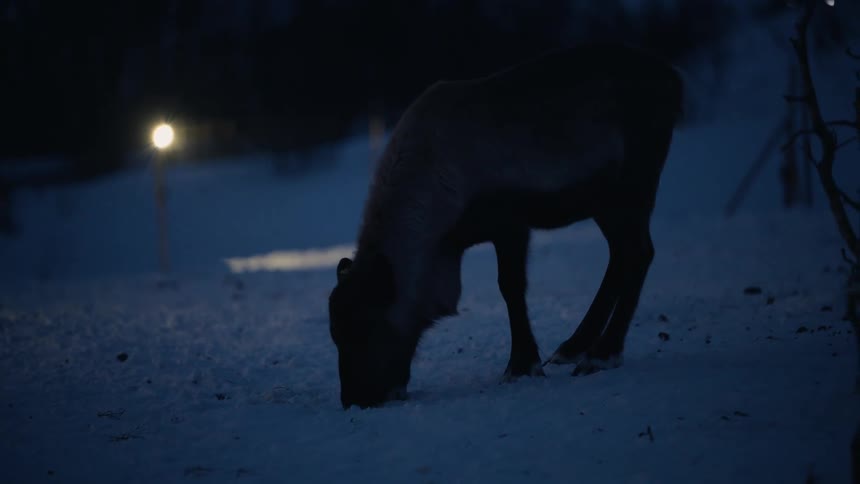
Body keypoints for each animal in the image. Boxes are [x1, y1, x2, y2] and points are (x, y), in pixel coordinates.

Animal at [328, 42, 684, 409]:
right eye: (335, 334)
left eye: (366, 327)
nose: (354, 399)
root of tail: (674, 81)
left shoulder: (510, 223)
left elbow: (511, 287)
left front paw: (521, 365)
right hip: (604, 203)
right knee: (621, 254)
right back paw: (574, 346)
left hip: (632, 187)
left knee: (638, 252)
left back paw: (603, 353)